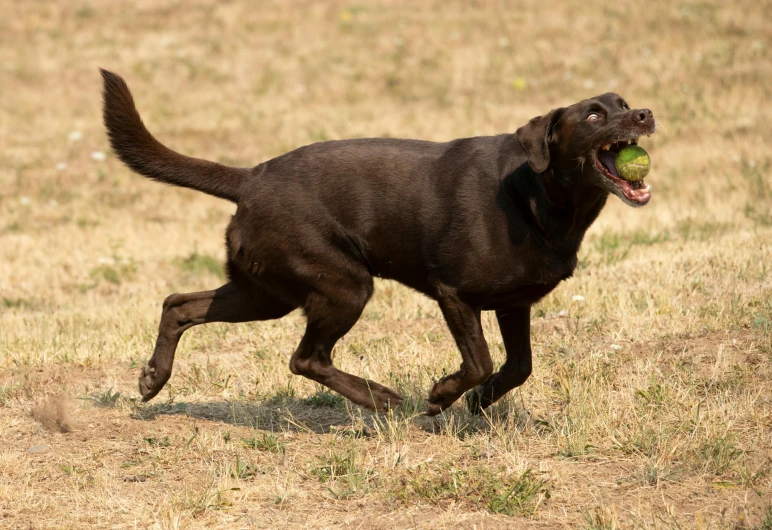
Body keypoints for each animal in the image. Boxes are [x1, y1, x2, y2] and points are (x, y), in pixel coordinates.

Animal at [101, 69, 656, 412]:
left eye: (624, 104)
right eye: (593, 115)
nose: (645, 114)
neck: (535, 195)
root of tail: (251, 177)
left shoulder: (514, 303)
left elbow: (519, 366)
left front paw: (480, 401)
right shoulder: (453, 292)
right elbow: (479, 361)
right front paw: (442, 395)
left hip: (265, 292)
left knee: (179, 304)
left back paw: (153, 378)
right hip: (345, 284)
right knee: (306, 358)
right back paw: (382, 399)